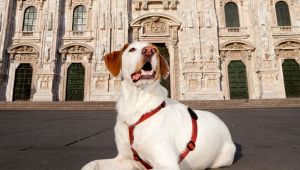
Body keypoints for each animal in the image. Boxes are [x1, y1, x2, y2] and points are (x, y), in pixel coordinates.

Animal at [82, 41, 237, 170]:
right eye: (132, 49)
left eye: (155, 50)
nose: (149, 50)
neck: (136, 102)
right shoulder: (126, 160)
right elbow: (92, 164)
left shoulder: (166, 162)